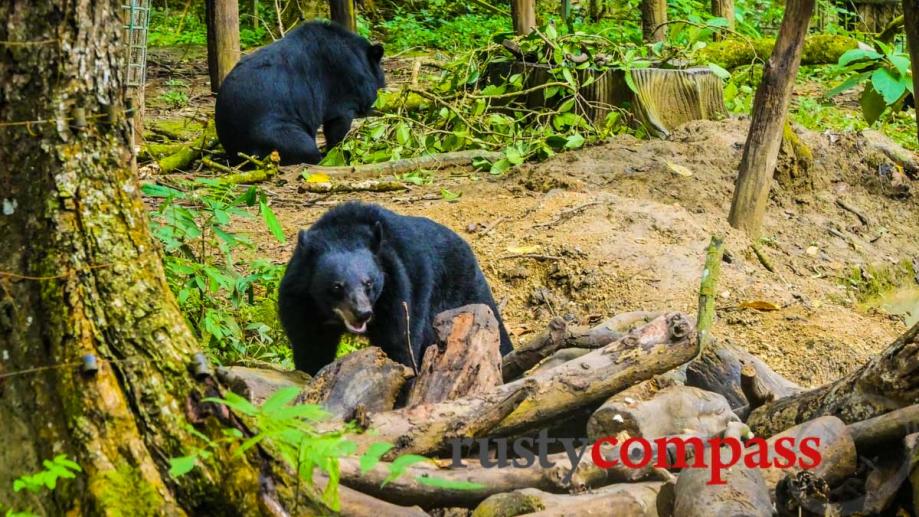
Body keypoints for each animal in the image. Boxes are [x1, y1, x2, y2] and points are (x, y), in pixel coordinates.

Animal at [276, 202, 512, 374]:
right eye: (336, 286)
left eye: (368, 283)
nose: (362, 313)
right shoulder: (300, 300)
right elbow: (310, 346)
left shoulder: (397, 288)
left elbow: (399, 341)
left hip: (463, 292)